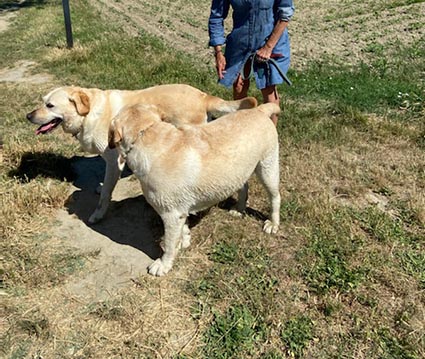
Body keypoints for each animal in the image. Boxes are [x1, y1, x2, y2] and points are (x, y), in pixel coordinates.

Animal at [29, 85, 258, 224]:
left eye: (50, 105)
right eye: (42, 101)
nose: (28, 115)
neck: (89, 113)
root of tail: (203, 96)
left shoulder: (114, 160)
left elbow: (105, 196)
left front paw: (98, 214)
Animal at [109, 102, 282, 278]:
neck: (147, 133)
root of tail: (258, 110)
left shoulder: (171, 214)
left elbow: (169, 243)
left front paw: (163, 264)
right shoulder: (178, 210)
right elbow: (182, 229)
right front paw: (184, 241)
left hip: (267, 168)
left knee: (275, 197)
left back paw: (273, 224)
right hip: (239, 171)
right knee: (244, 186)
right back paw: (239, 209)